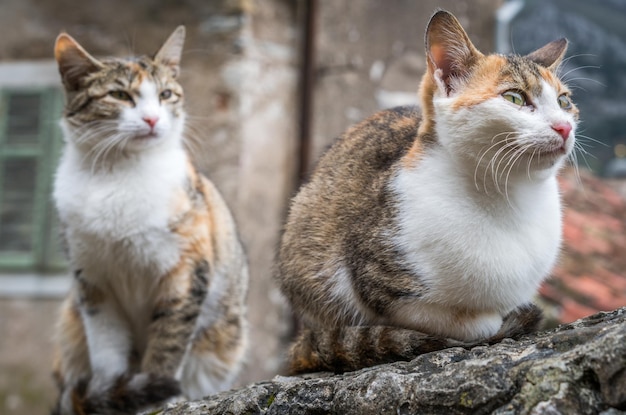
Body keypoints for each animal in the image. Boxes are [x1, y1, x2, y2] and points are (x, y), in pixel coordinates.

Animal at [51, 26, 247, 415]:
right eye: (119, 95)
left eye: (165, 94)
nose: (153, 119)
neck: (119, 172)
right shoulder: (93, 282)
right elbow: (107, 348)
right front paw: (113, 391)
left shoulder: (187, 269)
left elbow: (168, 342)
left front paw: (162, 396)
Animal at [276, 8, 576, 374]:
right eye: (514, 97)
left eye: (564, 101)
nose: (564, 127)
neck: (509, 196)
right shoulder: (374, 278)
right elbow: (457, 321)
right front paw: (488, 322)